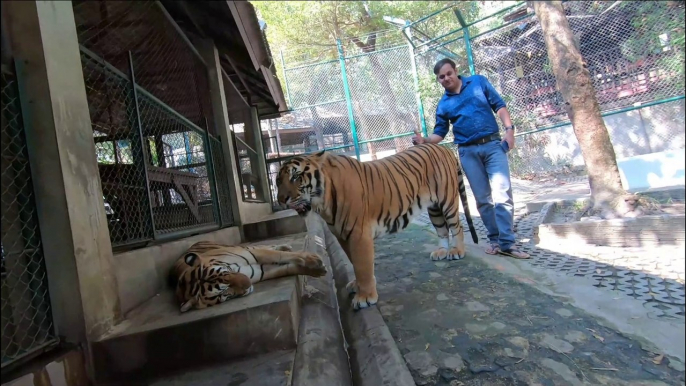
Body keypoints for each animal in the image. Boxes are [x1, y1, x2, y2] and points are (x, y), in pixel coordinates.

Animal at [169, 241, 326, 314]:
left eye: (226, 274)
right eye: (223, 293)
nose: (248, 284)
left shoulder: (254, 255)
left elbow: (280, 256)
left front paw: (313, 260)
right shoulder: (259, 270)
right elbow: (287, 268)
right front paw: (318, 269)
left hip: (242, 247)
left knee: (266, 246)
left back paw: (285, 246)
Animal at [276, 144, 482, 310]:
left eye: (296, 177)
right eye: (278, 181)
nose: (281, 200)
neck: (323, 202)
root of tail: (444, 147)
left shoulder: (358, 233)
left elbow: (362, 265)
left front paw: (365, 298)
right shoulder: (343, 235)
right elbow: (356, 263)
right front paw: (358, 286)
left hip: (447, 201)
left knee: (457, 227)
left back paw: (457, 251)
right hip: (434, 209)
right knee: (442, 230)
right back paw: (441, 252)